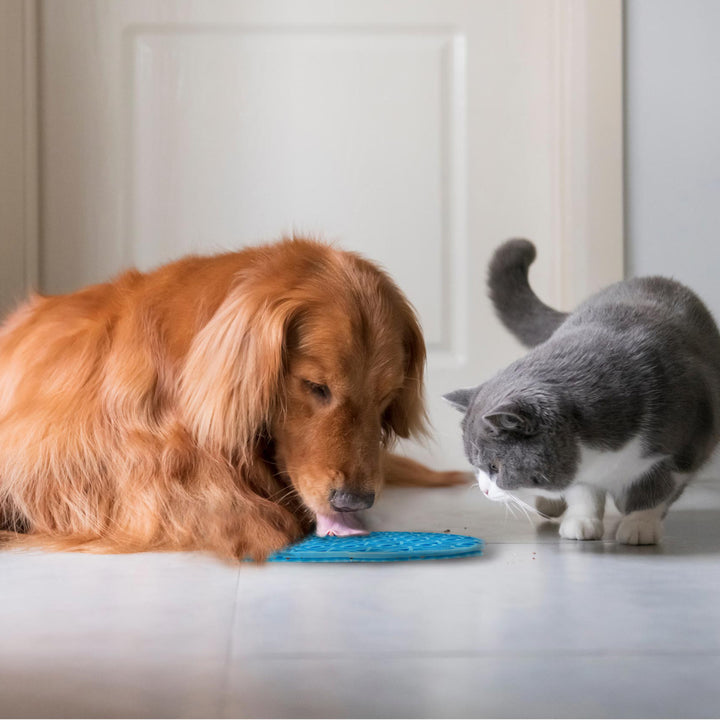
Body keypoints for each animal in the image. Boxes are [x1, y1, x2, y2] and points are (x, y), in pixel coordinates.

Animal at [444, 239, 720, 544]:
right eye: (475, 464)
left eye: (494, 467)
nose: (484, 489)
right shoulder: (580, 470)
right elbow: (582, 492)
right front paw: (581, 523)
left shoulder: (683, 448)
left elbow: (656, 490)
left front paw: (639, 525)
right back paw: (551, 504)